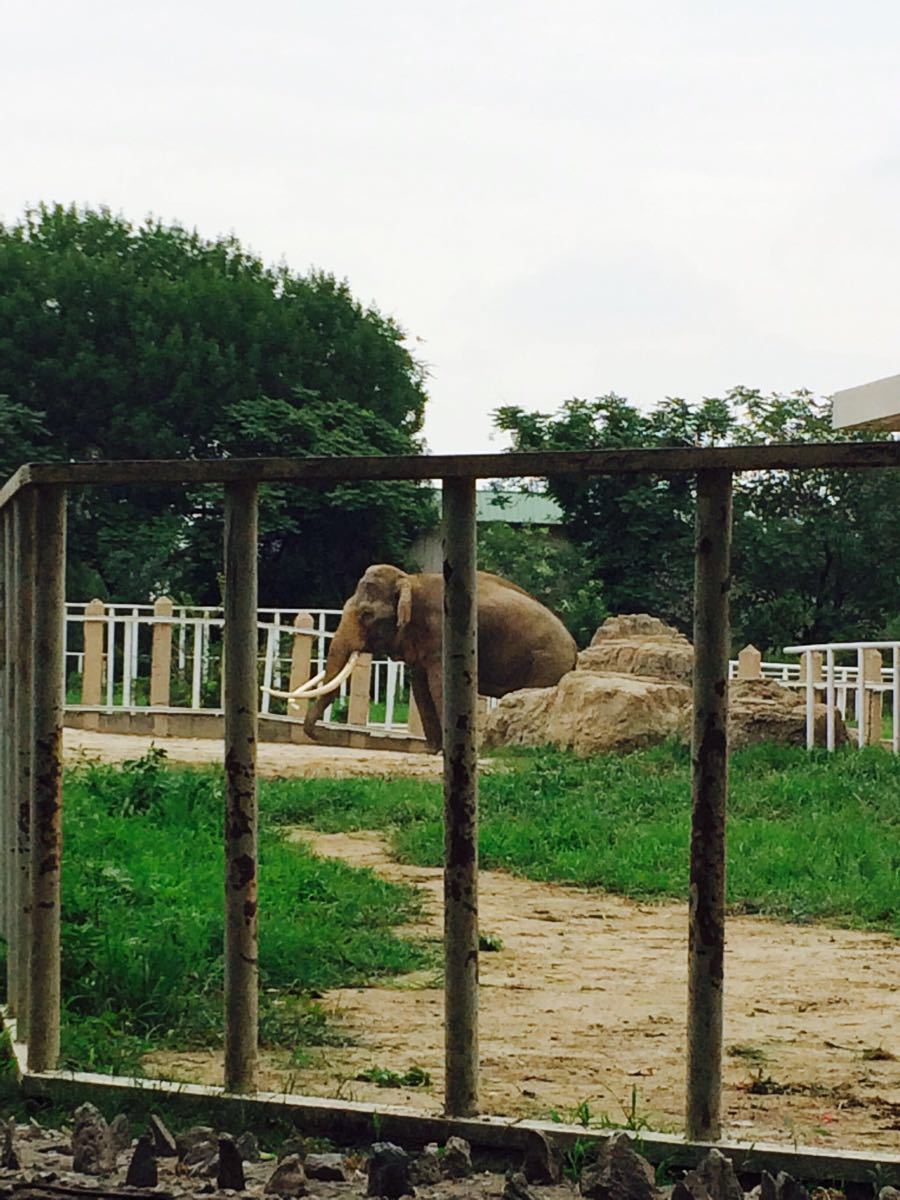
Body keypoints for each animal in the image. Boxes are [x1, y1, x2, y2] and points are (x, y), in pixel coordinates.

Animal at [296, 561, 578, 748]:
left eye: (367, 614)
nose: (319, 736)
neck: (411, 580)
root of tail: (574, 647)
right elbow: (421, 686)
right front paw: (435, 750)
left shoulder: (440, 633)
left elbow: (437, 683)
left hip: (547, 662)